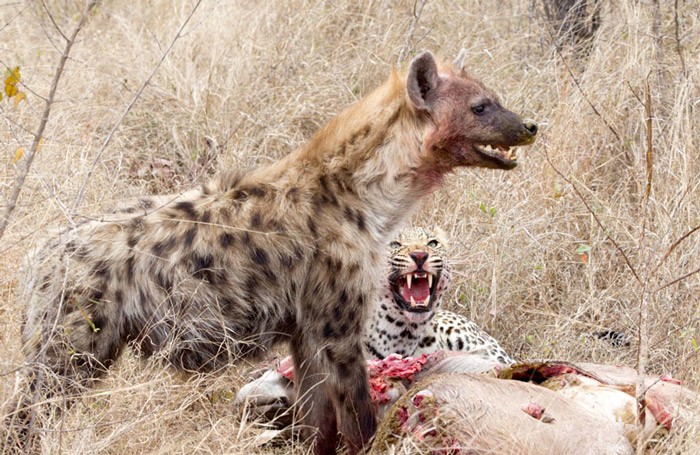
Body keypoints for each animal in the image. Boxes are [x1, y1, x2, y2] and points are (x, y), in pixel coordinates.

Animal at [5, 51, 536, 454]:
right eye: (481, 107)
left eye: (494, 100)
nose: (530, 124)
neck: (369, 197)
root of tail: (39, 256)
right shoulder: (339, 327)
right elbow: (359, 417)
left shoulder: (306, 331)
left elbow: (317, 420)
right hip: (71, 347)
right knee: (26, 413)